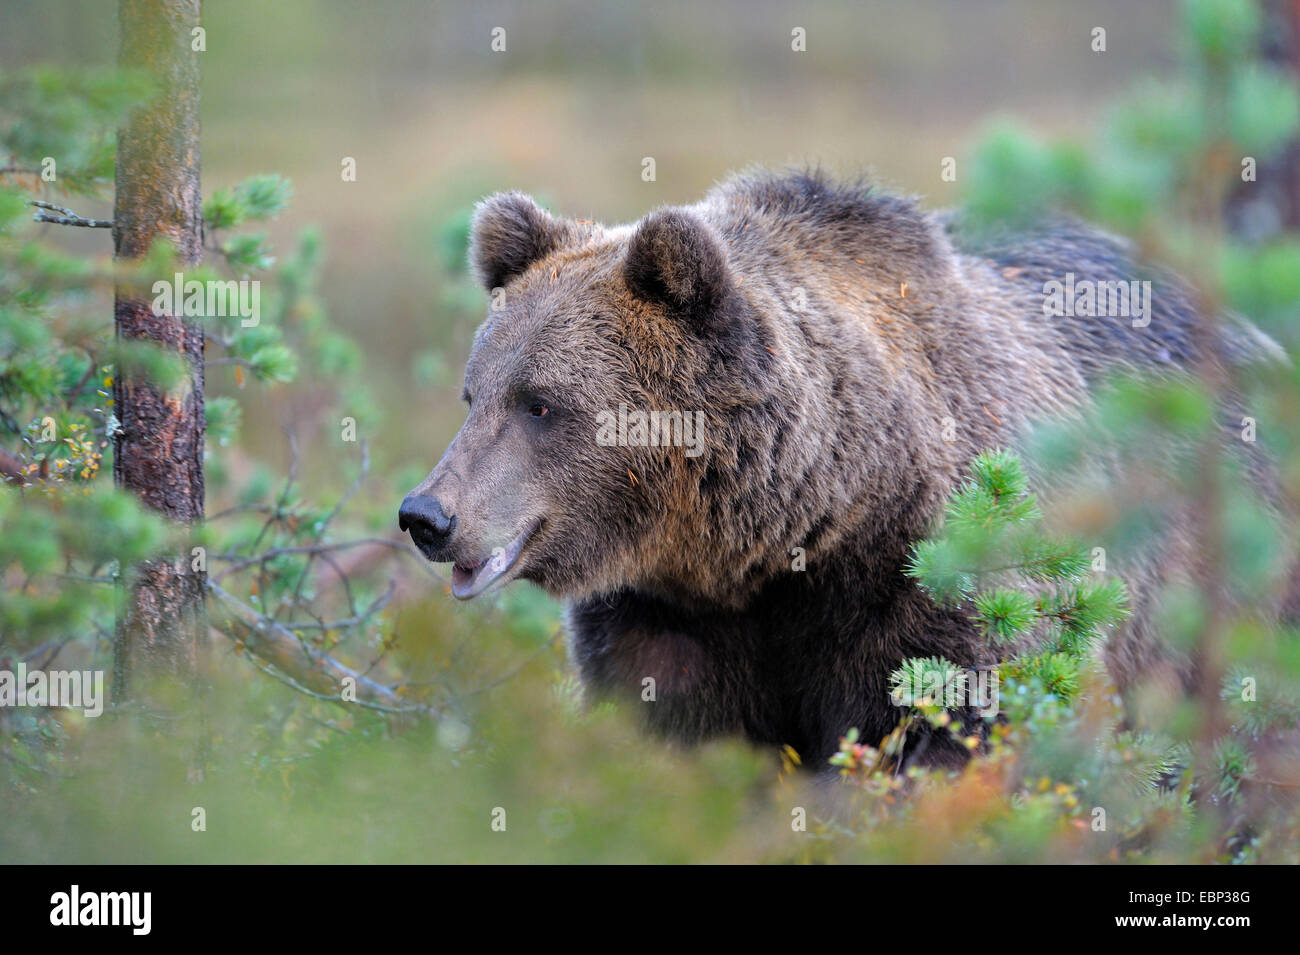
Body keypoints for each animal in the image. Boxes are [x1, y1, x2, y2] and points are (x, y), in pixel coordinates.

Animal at [400, 167, 1284, 769]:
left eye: (541, 403)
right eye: (475, 393)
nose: (426, 515)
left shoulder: (931, 588)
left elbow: (953, 733)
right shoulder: (672, 618)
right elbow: (683, 735)